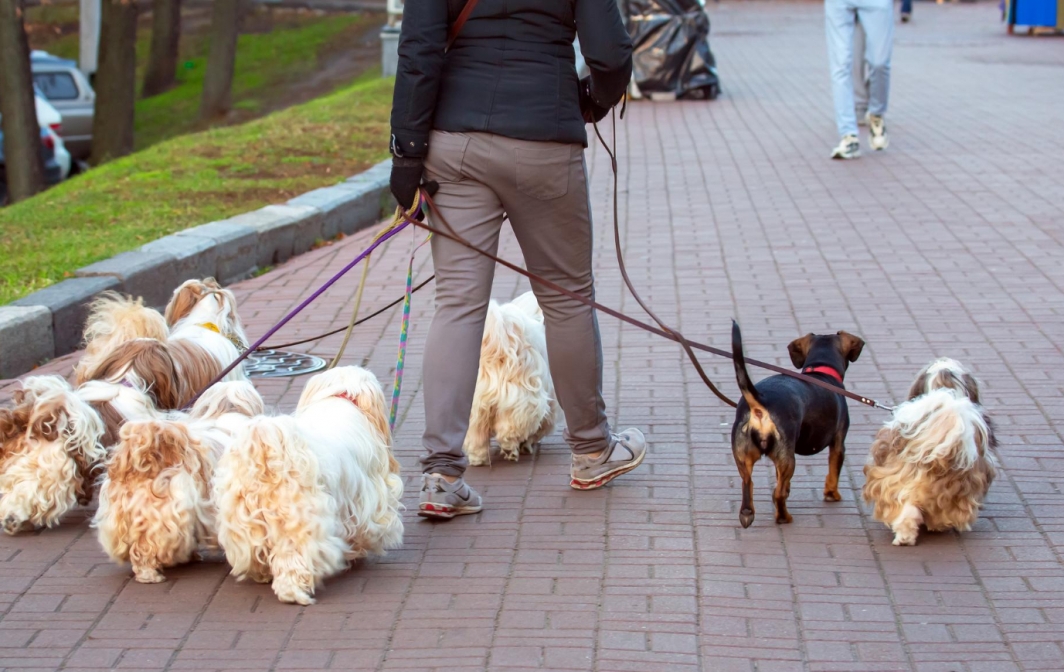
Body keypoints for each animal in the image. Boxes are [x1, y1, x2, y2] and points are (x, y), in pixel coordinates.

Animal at [214, 365, 402, 608]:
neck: (339, 397)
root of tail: (265, 449)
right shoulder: (366, 500)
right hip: (301, 521)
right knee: (297, 559)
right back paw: (294, 592)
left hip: (243, 521)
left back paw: (263, 574)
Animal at [461, 291, 557, 463]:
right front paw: (527, 443)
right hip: (521, 397)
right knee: (511, 426)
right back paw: (510, 447)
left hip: (474, 404)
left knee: (474, 433)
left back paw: (478, 457)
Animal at [732, 323, 863, 527]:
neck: (820, 371)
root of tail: (760, 404)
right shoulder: (838, 444)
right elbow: (833, 472)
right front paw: (832, 494)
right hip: (787, 458)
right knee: (777, 494)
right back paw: (784, 517)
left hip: (745, 458)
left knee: (749, 486)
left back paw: (748, 513)